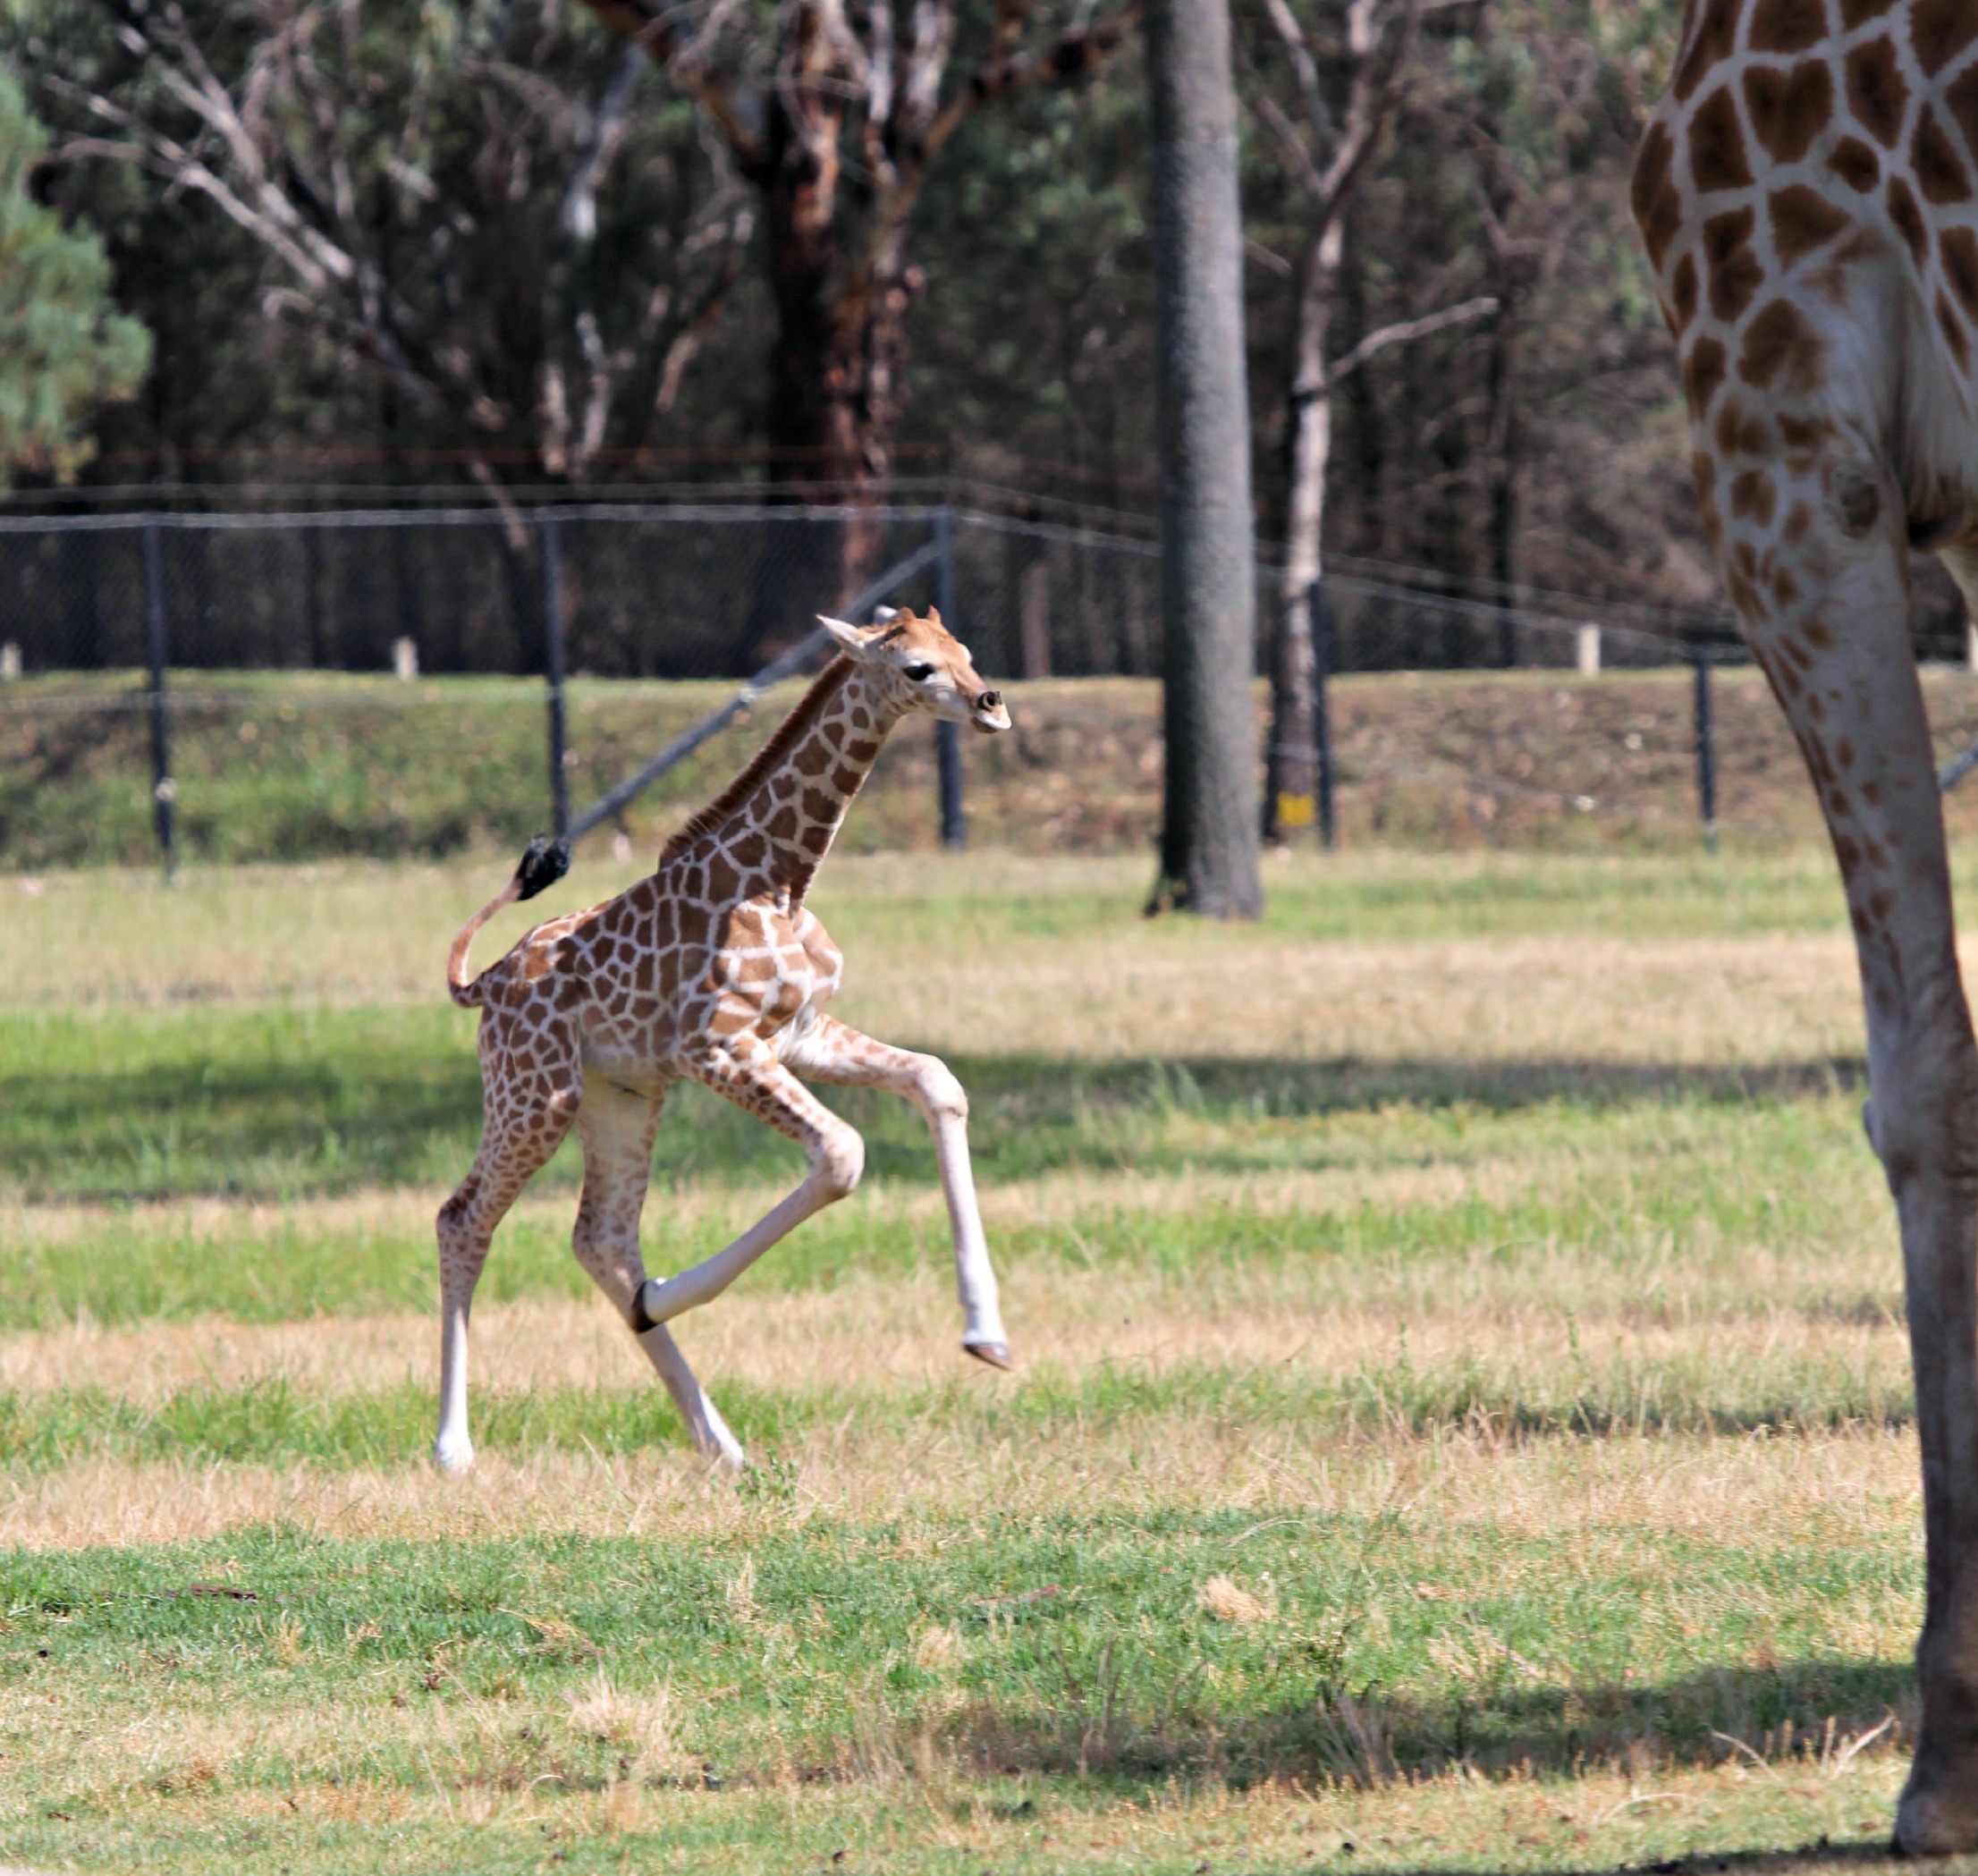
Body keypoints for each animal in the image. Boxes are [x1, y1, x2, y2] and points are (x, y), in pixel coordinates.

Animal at [433, 608, 1013, 1478]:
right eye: (917, 668)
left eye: (966, 652)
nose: (990, 703)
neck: (778, 880)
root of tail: (485, 985)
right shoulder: (719, 1048)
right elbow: (843, 1153)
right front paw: (674, 1294)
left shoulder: (800, 1035)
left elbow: (938, 1080)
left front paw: (988, 1336)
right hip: (535, 1092)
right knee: (463, 1219)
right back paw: (453, 1448)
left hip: (620, 1097)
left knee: (603, 1241)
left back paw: (723, 1444)